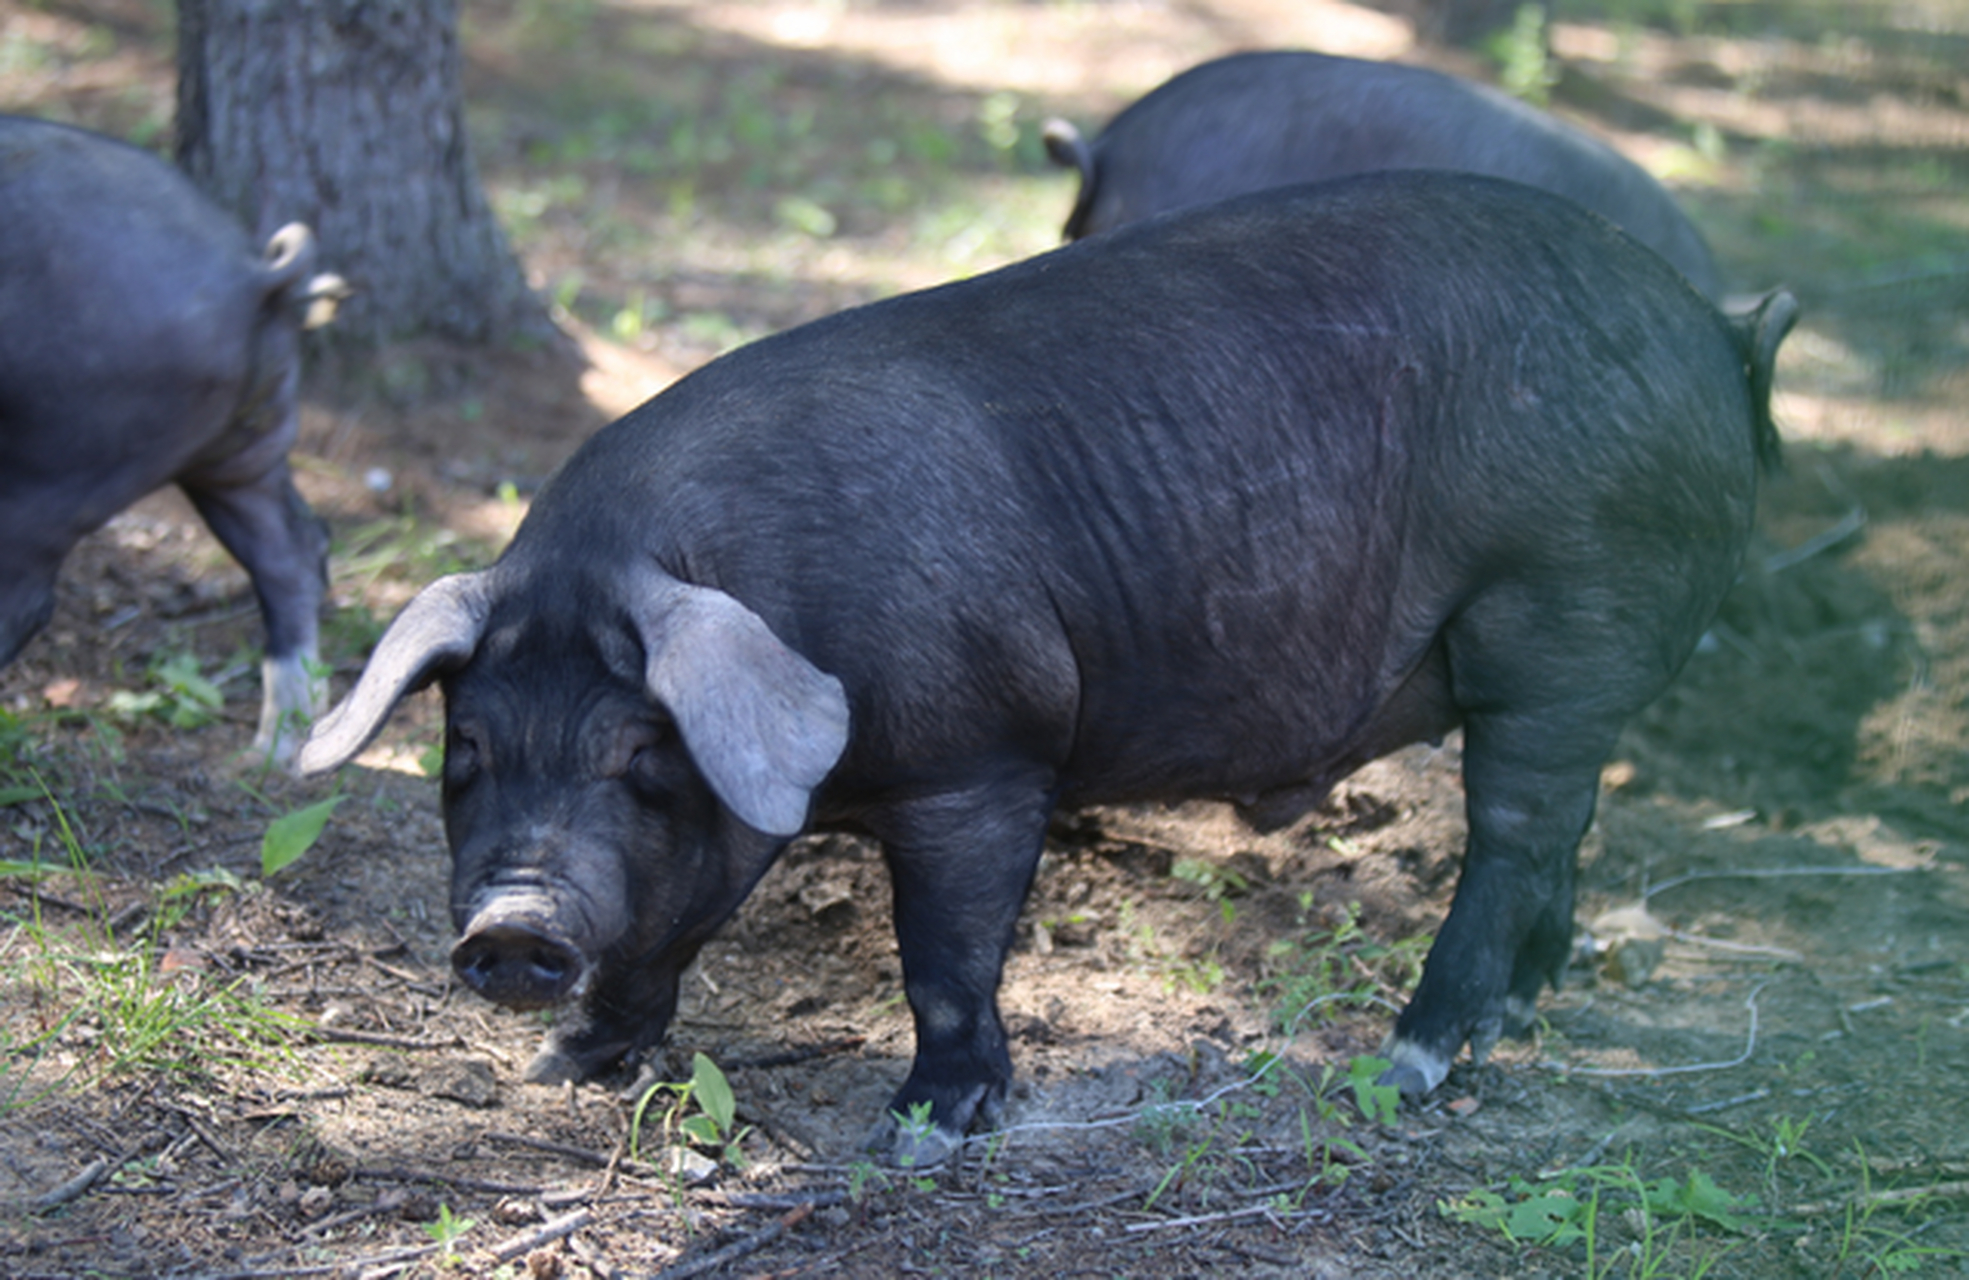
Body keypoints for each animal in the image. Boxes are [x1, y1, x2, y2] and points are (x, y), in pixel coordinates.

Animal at [0, 112, 344, 756]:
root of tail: (250, 271)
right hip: (242, 450)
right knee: (293, 549)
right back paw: (278, 750)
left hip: (64, 459)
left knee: (24, 601)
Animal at [299, 172, 1795, 1165]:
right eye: (466, 751)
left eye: (636, 752)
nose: (510, 927)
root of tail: (1717, 334)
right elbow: (670, 931)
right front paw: (562, 1070)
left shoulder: (982, 756)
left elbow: (944, 954)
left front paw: (922, 1133)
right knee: (1564, 835)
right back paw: (1521, 1016)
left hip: (1561, 611)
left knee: (1514, 832)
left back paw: (1412, 1062)